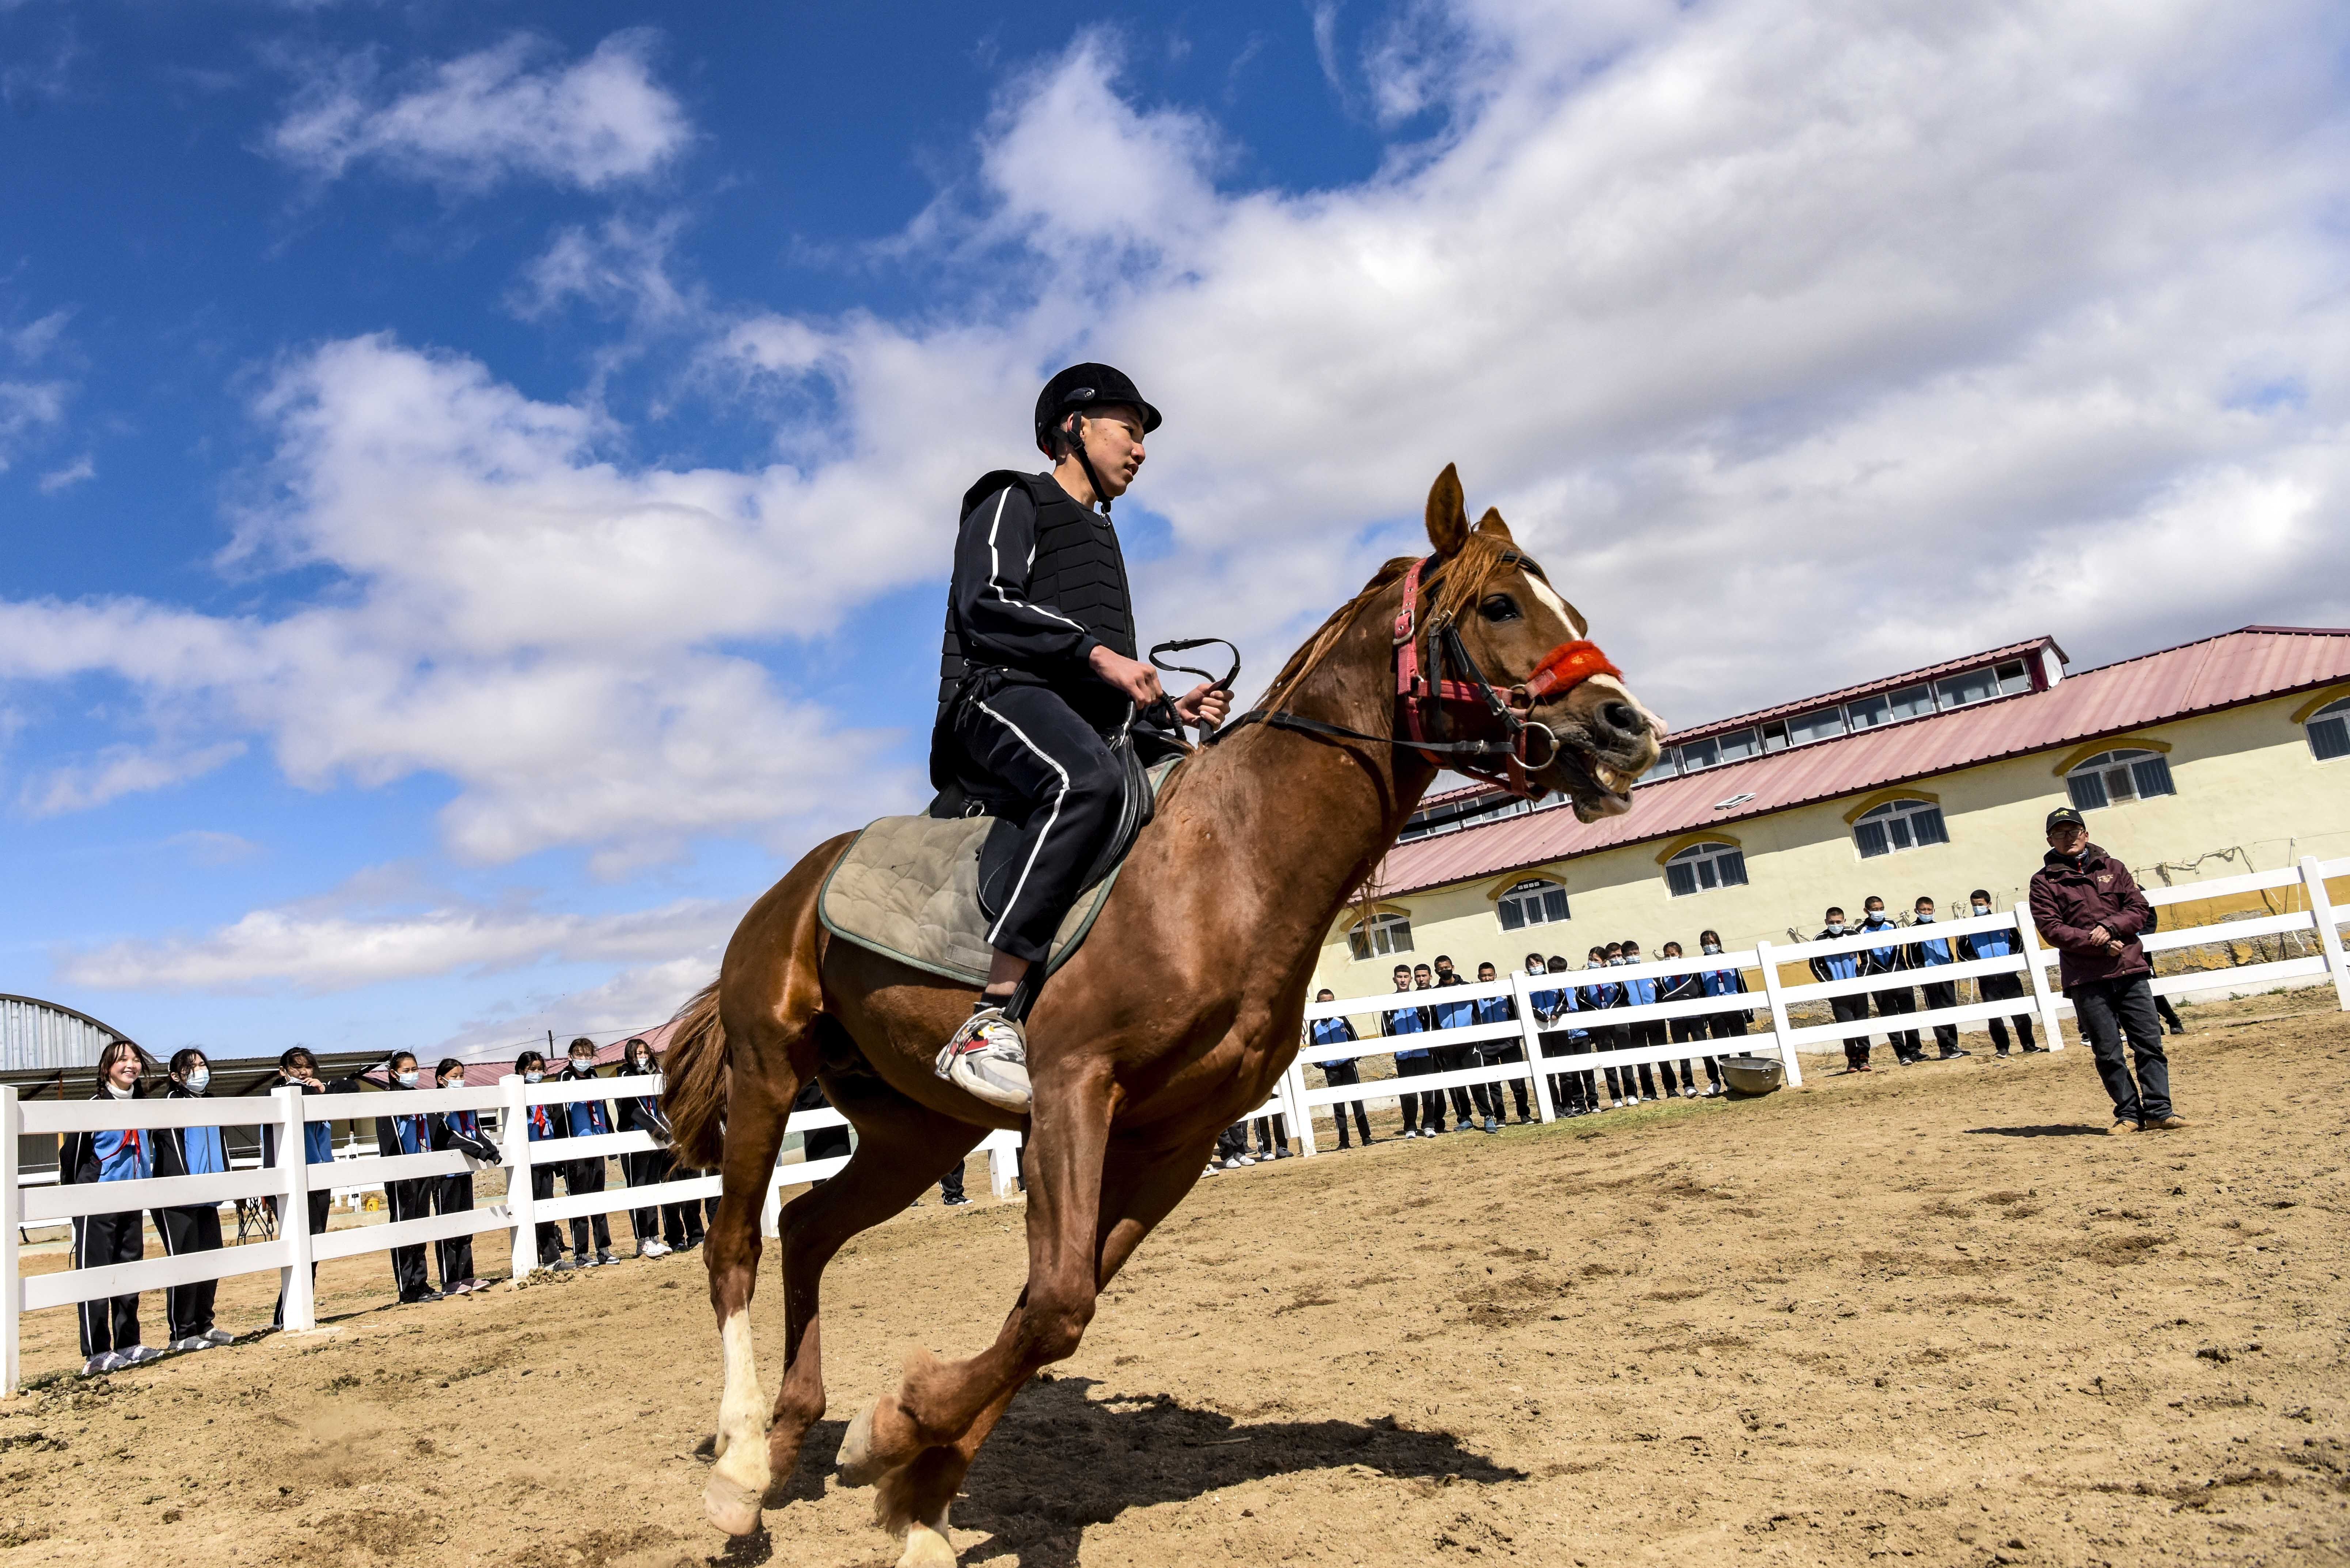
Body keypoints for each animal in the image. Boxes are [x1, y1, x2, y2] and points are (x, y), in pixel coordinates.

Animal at [658, 465, 1654, 1568]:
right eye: (1500, 606)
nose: (1628, 729)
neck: (1231, 863)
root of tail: (793, 886)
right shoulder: (1071, 1091)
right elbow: (1055, 1304)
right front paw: (894, 1440)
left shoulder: (1174, 1138)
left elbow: (1047, 1312)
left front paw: (914, 1483)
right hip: (769, 1071)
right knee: (735, 1247)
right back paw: (739, 1469)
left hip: (917, 1132)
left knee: (808, 1227)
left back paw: (791, 1440)